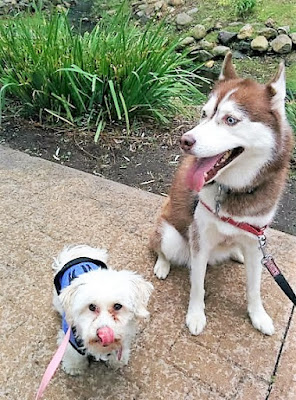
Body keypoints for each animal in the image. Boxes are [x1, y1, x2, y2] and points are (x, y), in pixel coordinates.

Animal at [52, 244, 153, 376]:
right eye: (91, 307)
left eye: (117, 306)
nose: (103, 333)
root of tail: (77, 255)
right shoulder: (69, 339)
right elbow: (74, 354)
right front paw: (74, 367)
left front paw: (118, 361)